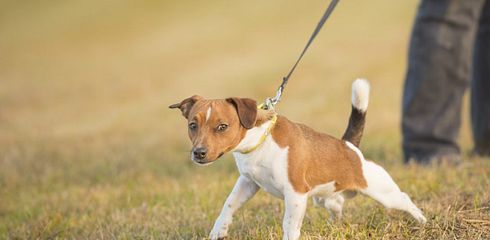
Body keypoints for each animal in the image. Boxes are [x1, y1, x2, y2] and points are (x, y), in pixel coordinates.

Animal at [170, 79, 426, 240]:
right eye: (192, 125)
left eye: (222, 126)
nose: (198, 153)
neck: (260, 142)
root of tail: (349, 145)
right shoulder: (248, 183)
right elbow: (229, 205)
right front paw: (219, 231)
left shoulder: (295, 194)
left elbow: (289, 226)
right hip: (325, 199)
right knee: (337, 207)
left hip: (383, 193)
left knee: (404, 200)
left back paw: (423, 221)